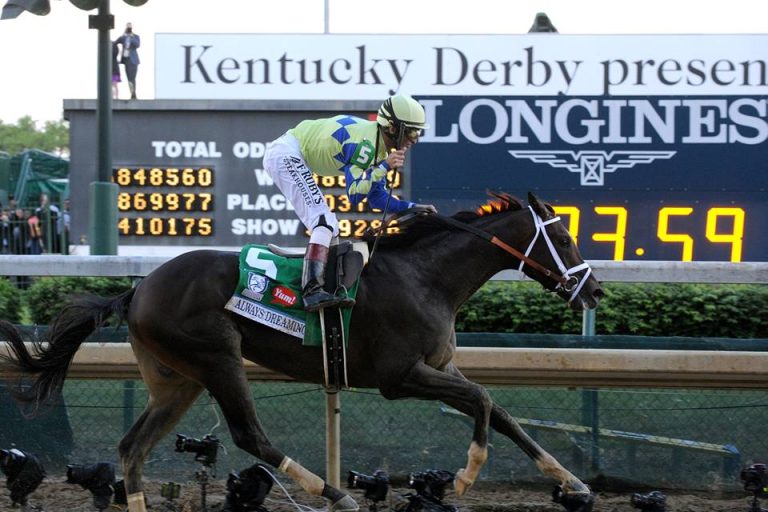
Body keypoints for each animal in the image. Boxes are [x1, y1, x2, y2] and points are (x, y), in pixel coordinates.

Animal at [0, 192, 603, 512]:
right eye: (564, 238)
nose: (594, 290)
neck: (425, 276)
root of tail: (138, 288)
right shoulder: (398, 376)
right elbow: (482, 400)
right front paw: (464, 477)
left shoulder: (438, 366)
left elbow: (499, 411)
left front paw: (572, 482)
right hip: (218, 358)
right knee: (249, 435)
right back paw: (333, 492)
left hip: (177, 379)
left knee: (133, 448)